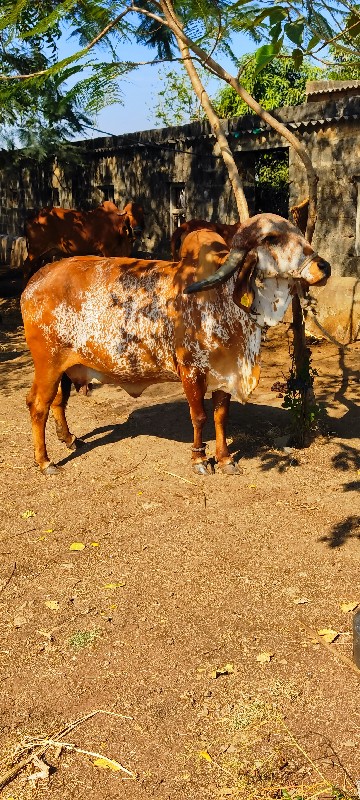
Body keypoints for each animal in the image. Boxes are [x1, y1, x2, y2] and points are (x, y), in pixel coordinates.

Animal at [19, 212, 330, 476]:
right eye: (271, 239)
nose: (324, 266)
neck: (222, 296)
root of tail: (36, 279)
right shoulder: (191, 372)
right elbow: (199, 417)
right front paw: (200, 459)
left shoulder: (224, 374)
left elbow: (221, 417)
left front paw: (225, 459)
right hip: (48, 363)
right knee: (38, 404)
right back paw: (45, 462)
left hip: (65, 367)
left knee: (58, 402)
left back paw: (70, 439)